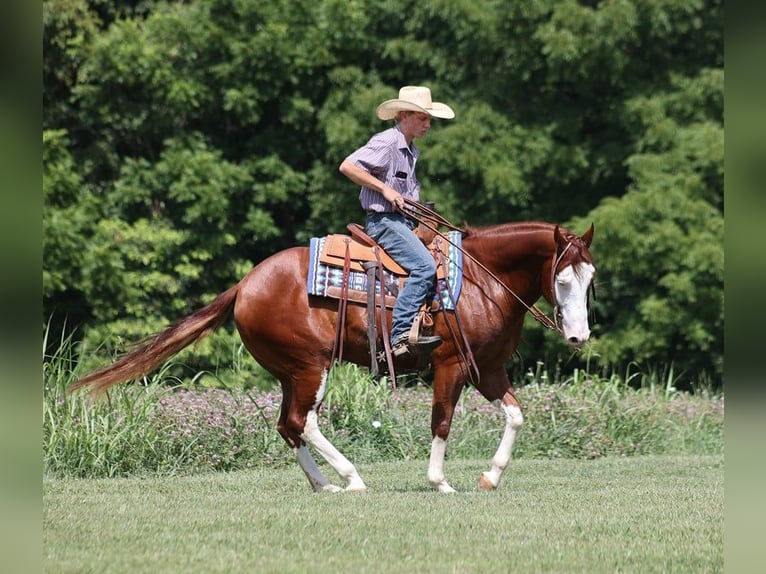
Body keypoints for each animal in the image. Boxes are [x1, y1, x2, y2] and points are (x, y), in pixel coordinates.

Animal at [70, 220, 595, 493]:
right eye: (561, 279)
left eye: (590, 279)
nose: (579, 336)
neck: (483, 281)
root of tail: (246, 283)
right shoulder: (450, 366)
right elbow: (443, 422)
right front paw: (439, 482)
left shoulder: (486, 369)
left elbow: (516, 416)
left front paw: (490, 476)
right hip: (311, 366)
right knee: (303, 421)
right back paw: (351, 477)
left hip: (290, 371)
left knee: (287, 425)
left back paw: (323, 484)